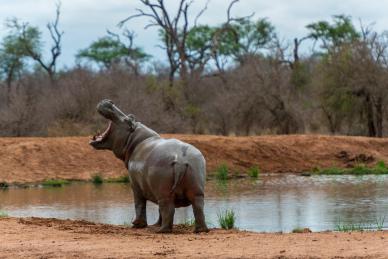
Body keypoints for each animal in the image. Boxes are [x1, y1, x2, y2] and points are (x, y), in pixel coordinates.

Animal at [90, 99, 209, 234]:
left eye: (127, 119)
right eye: (130, 116)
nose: (109, 102)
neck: (133, 139)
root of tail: (180, 159)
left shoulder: (135, 185)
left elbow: (139, 204)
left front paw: (137, 224)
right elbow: (158, 210)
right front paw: (155, 224)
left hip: (164, 192)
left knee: (168, 209)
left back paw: (162, 231)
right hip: (196, 189)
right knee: (197, 208)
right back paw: (200, 230)